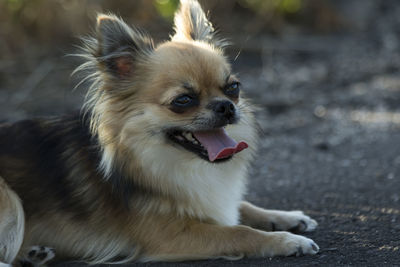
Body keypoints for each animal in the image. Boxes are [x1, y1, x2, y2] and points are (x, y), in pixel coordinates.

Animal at [0, 0, 318, 266]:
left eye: (233, 88)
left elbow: (241, 206)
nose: (226, 106)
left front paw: (287, 218)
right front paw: (288, 241)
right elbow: (238, 231)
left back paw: (34, 254)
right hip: (11, 201)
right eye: (183, 100)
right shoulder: (173, 234)